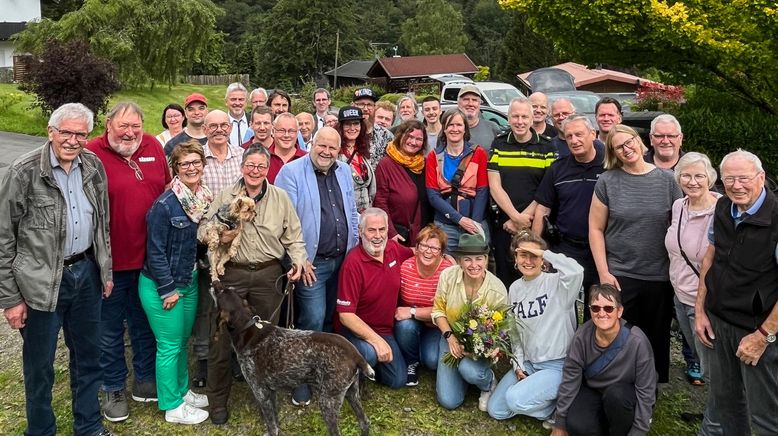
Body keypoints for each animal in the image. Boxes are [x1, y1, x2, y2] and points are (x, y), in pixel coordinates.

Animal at [211, 282, 372, 436]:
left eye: (221, 292)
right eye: (229, 288)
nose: (214, 283)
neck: (247, 329)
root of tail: (356, 354)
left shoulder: (261, 393)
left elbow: (271, 426)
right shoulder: (271, 392)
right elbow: (275, 422)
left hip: (328, 401)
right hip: (351, 393)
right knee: (365, 422)